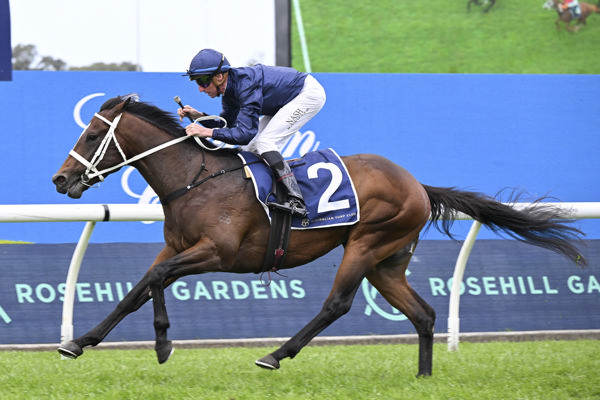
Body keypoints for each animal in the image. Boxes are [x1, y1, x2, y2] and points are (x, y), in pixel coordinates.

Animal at [51, 95, 584, 376]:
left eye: (92, 135)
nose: (60, 180)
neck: (195, 177)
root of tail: (416, 184)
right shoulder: (178, 247)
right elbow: (140, 287)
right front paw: (79, 342)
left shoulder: (216, 253)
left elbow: (157, 279)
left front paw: (163, 344)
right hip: (387, 263)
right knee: (424, 314)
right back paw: (424, 375)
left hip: (367, 244)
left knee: (337, 305)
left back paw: (275, 354)